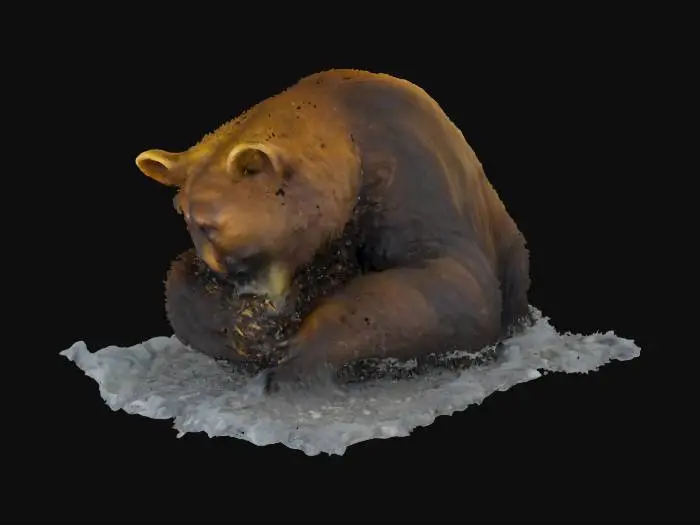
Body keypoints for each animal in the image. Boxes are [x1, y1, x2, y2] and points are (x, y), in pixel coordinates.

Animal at [135, 69, 532, 392]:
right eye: (188, 221)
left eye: (211, 225)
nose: (247, 293)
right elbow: (180, 281)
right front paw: (245, 330)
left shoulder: (407, 170)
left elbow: (453, 279)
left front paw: (295, 355)